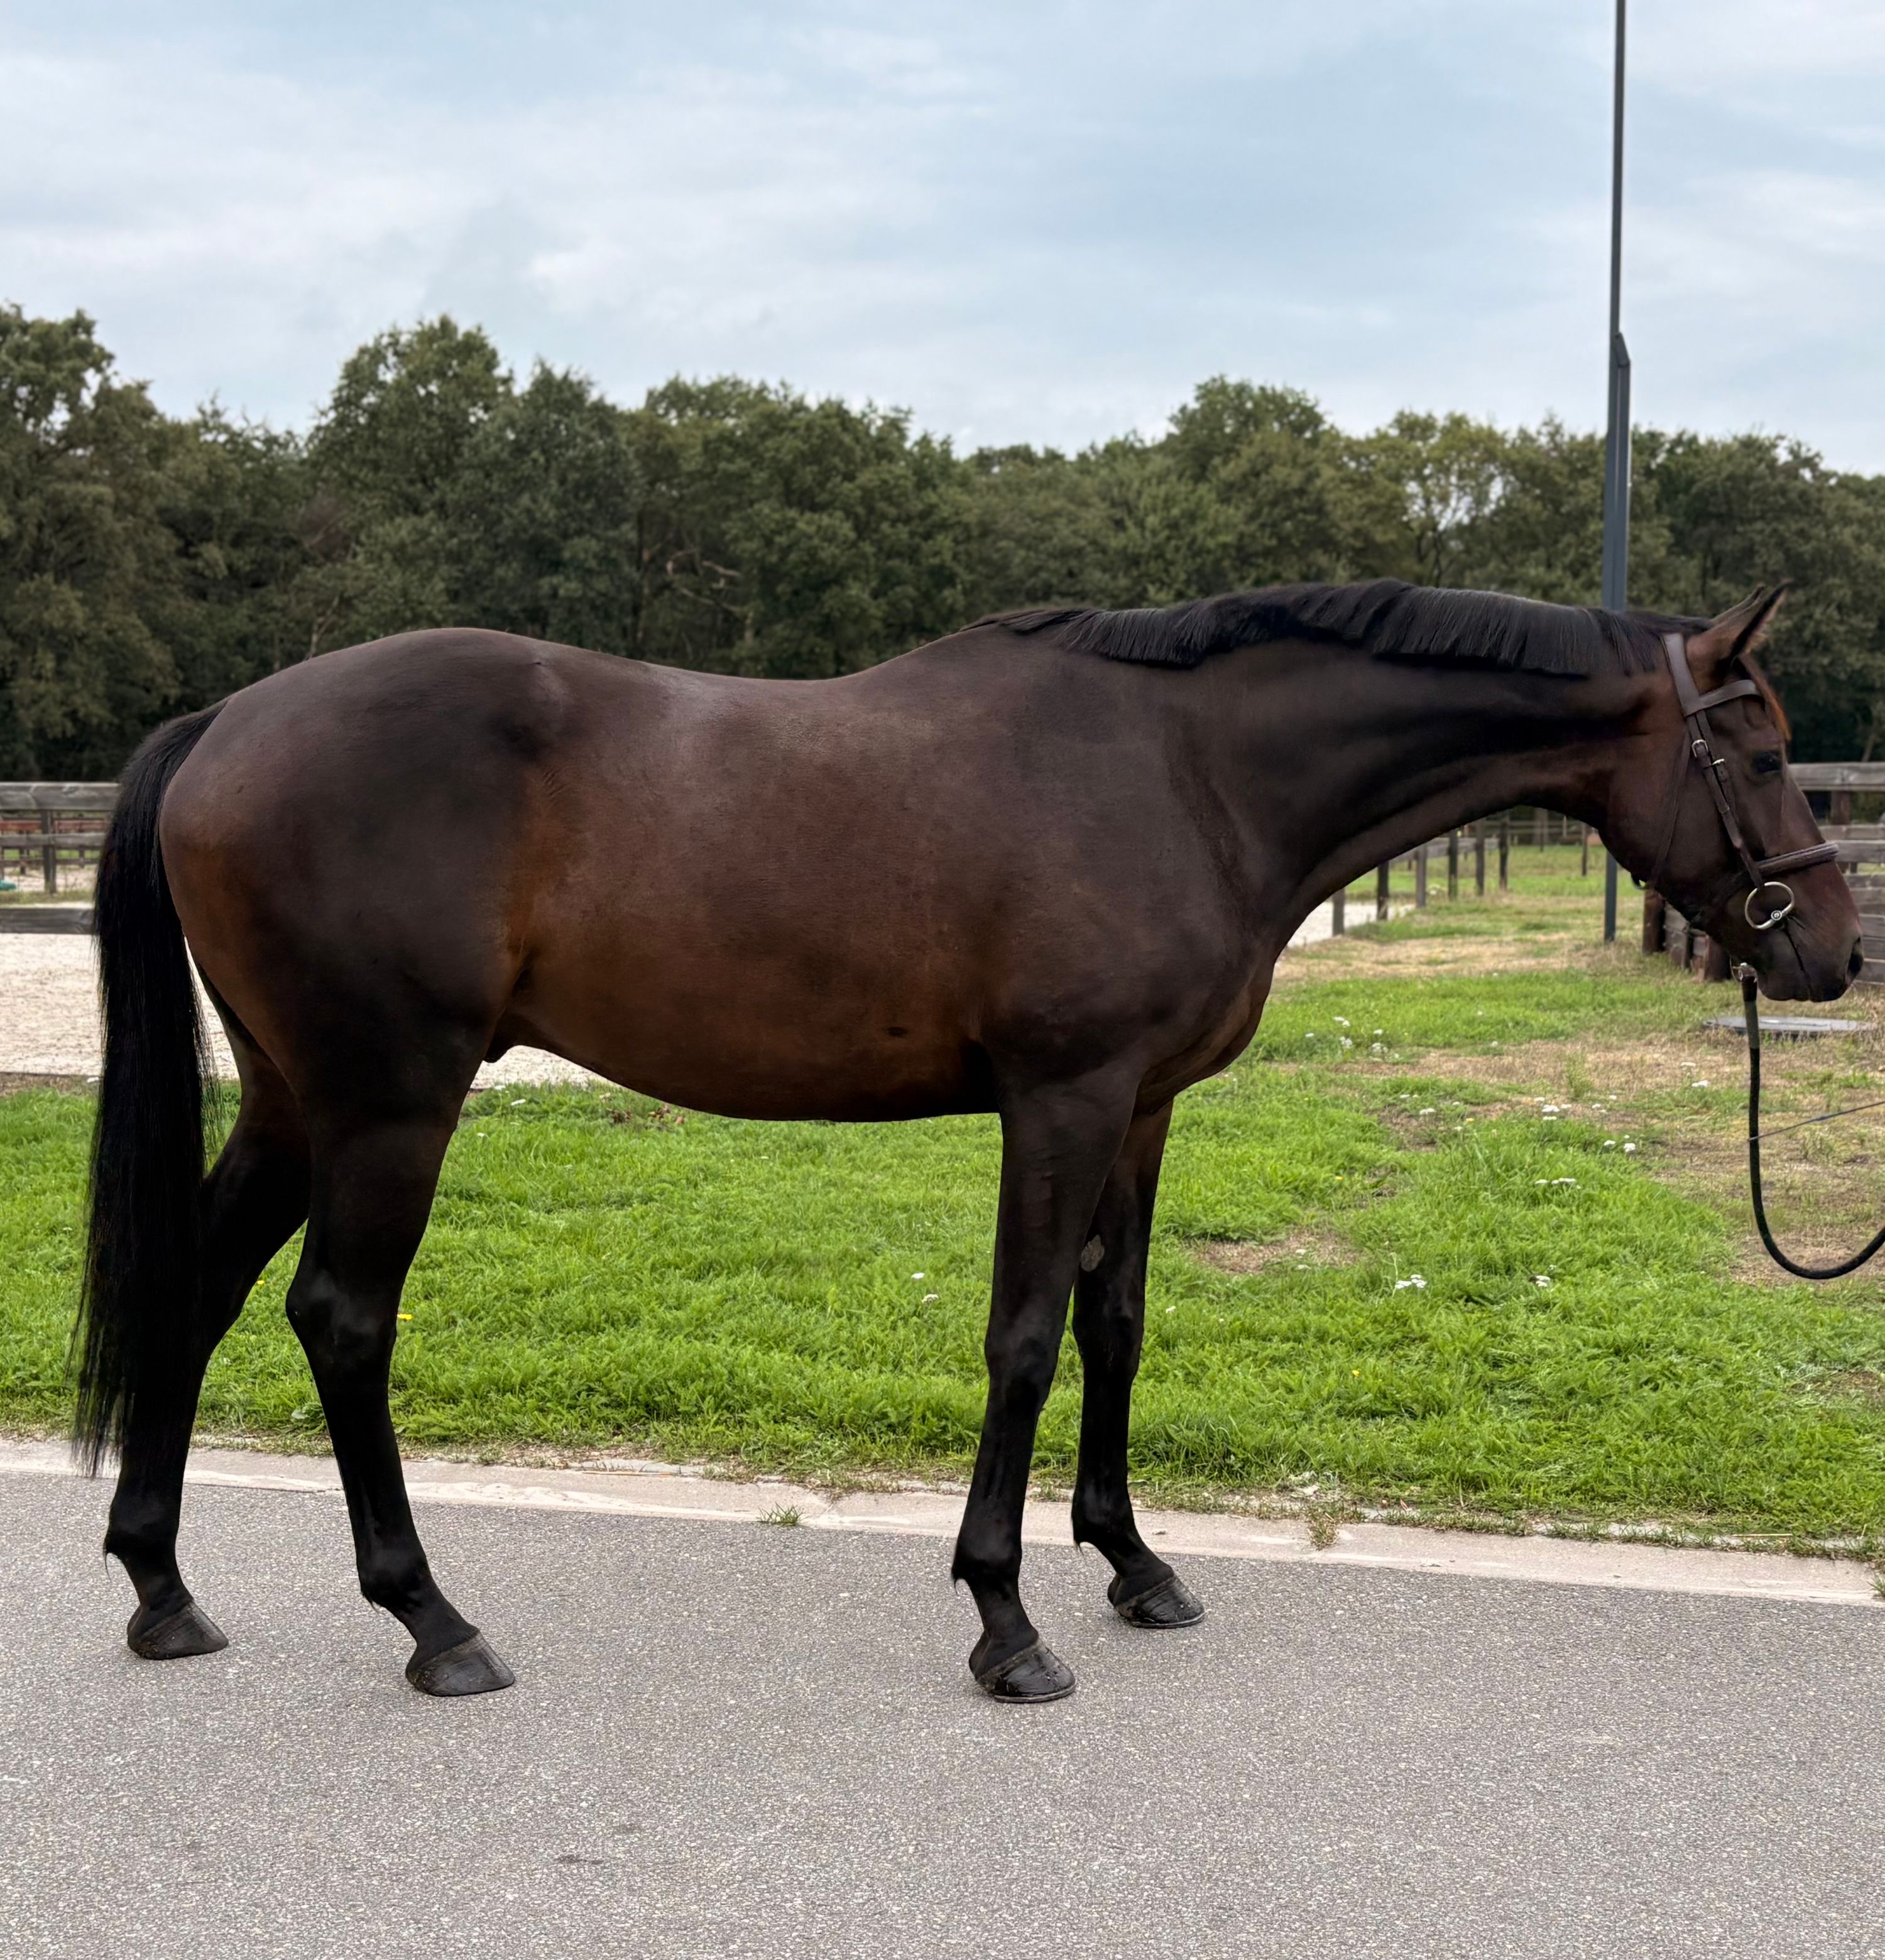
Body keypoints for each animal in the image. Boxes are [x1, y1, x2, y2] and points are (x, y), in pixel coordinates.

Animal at [75, 578, 1859, 1703]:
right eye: (1768, 749)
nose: (1834, 953)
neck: (1189, 774)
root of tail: (225, 721)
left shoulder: (1144, 1103)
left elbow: (1115, 1323)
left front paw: (1134, 1564)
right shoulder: (1061, 1097)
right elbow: (1022, 1337)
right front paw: (1007, 1620)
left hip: (296, 1098)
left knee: (198, 1294)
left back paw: (162, 1592)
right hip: (390, 1099)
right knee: (341, 1319)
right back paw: (431, 1621)